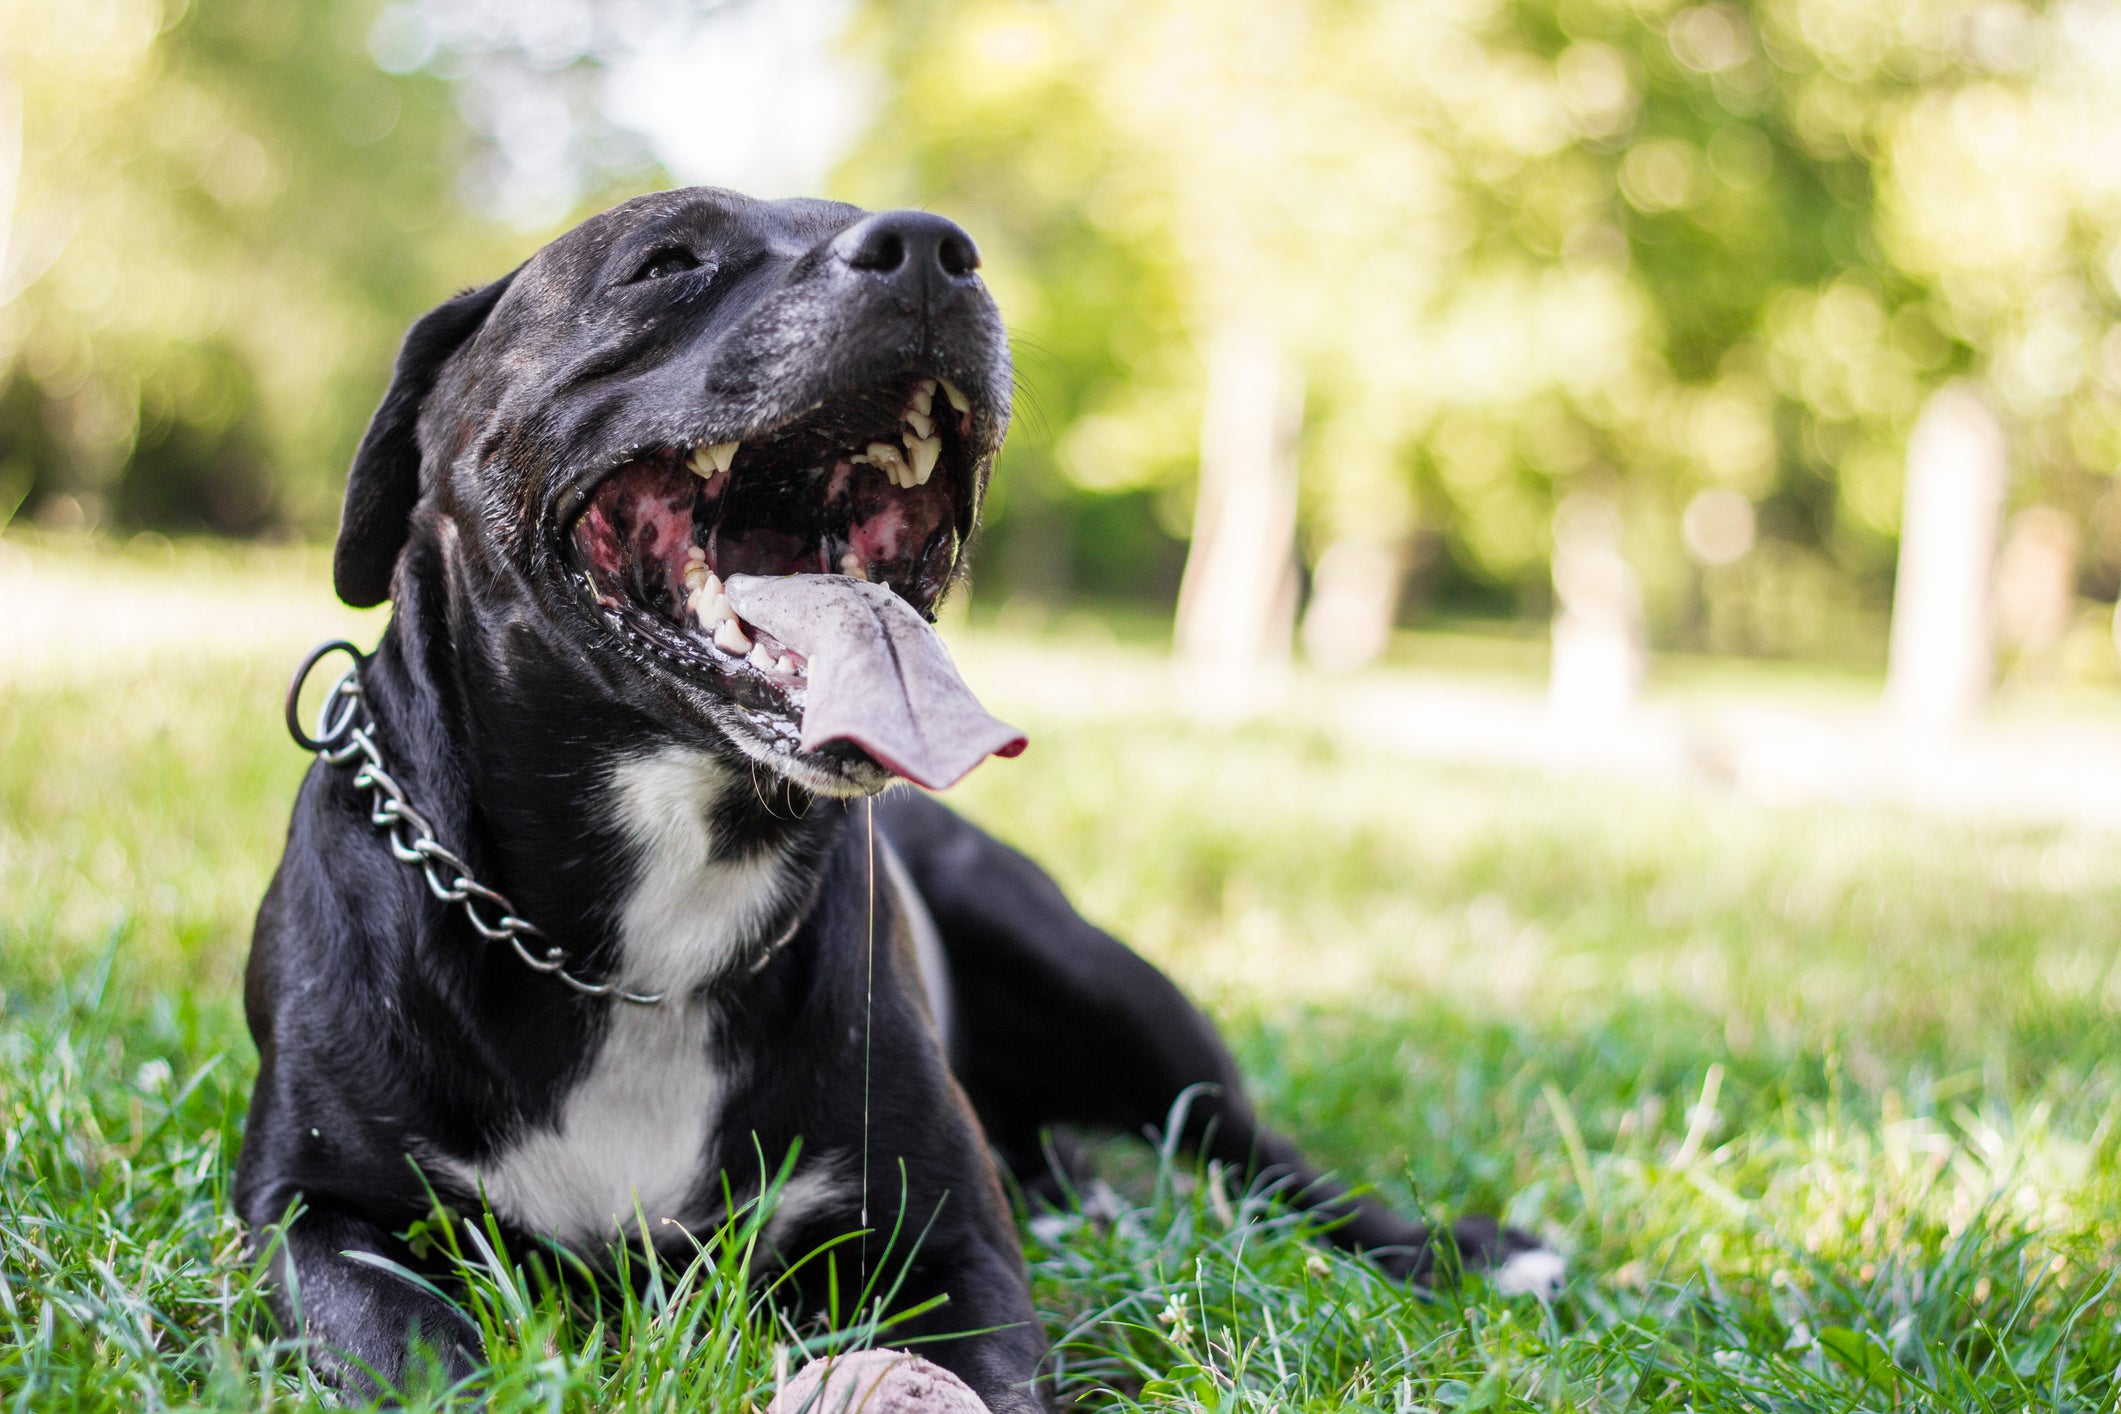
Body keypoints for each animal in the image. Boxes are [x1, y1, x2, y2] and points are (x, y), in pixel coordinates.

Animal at [236, 190, 1561, 1414]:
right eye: (666, 259)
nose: (931, 250)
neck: (645, 940)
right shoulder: (313, 1211)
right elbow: (421, 1352)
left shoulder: (950, 1242)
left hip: (1100, 979)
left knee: (1258, 1155)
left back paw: (1466, 1249)